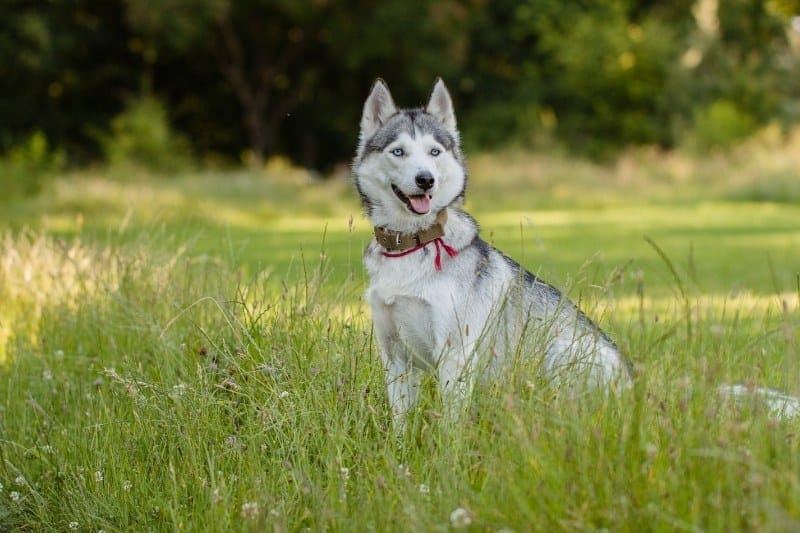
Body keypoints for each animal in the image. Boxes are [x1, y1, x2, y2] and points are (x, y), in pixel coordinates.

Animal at [354, 78, 636, 428]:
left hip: (561, 350)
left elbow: (450, 426)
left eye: (434, 152)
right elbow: (400, 422)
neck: (413, 243)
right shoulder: (394, 355)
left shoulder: (455, 353)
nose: (425, 179)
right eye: (398, 152)